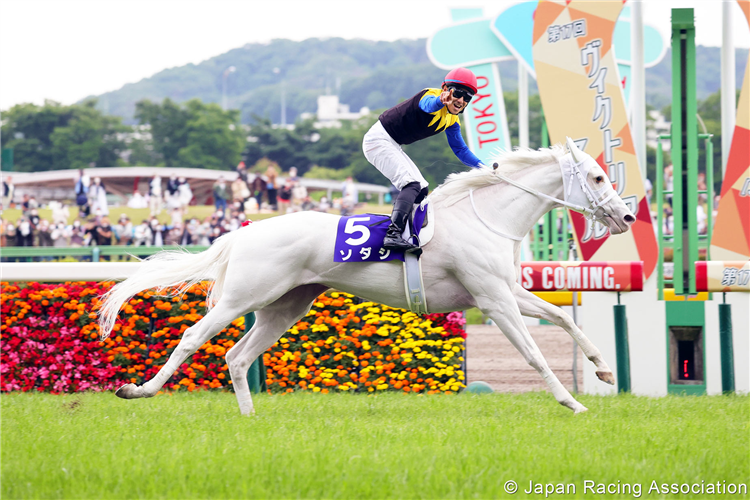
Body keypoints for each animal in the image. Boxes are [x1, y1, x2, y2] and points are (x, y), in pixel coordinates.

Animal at [100, 140, 636, 414]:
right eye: (597, 177)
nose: (627, 217)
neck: (486, 216)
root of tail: (243, 233)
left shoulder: (505, 291)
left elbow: (562, 319)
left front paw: (604, 370)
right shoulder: (493, 299)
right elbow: (532, 352)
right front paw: (570, 401)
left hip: (286, 305)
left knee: (238, 355)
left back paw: (249, 417)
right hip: (243, 297)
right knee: (194, 337)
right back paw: (138, 390)